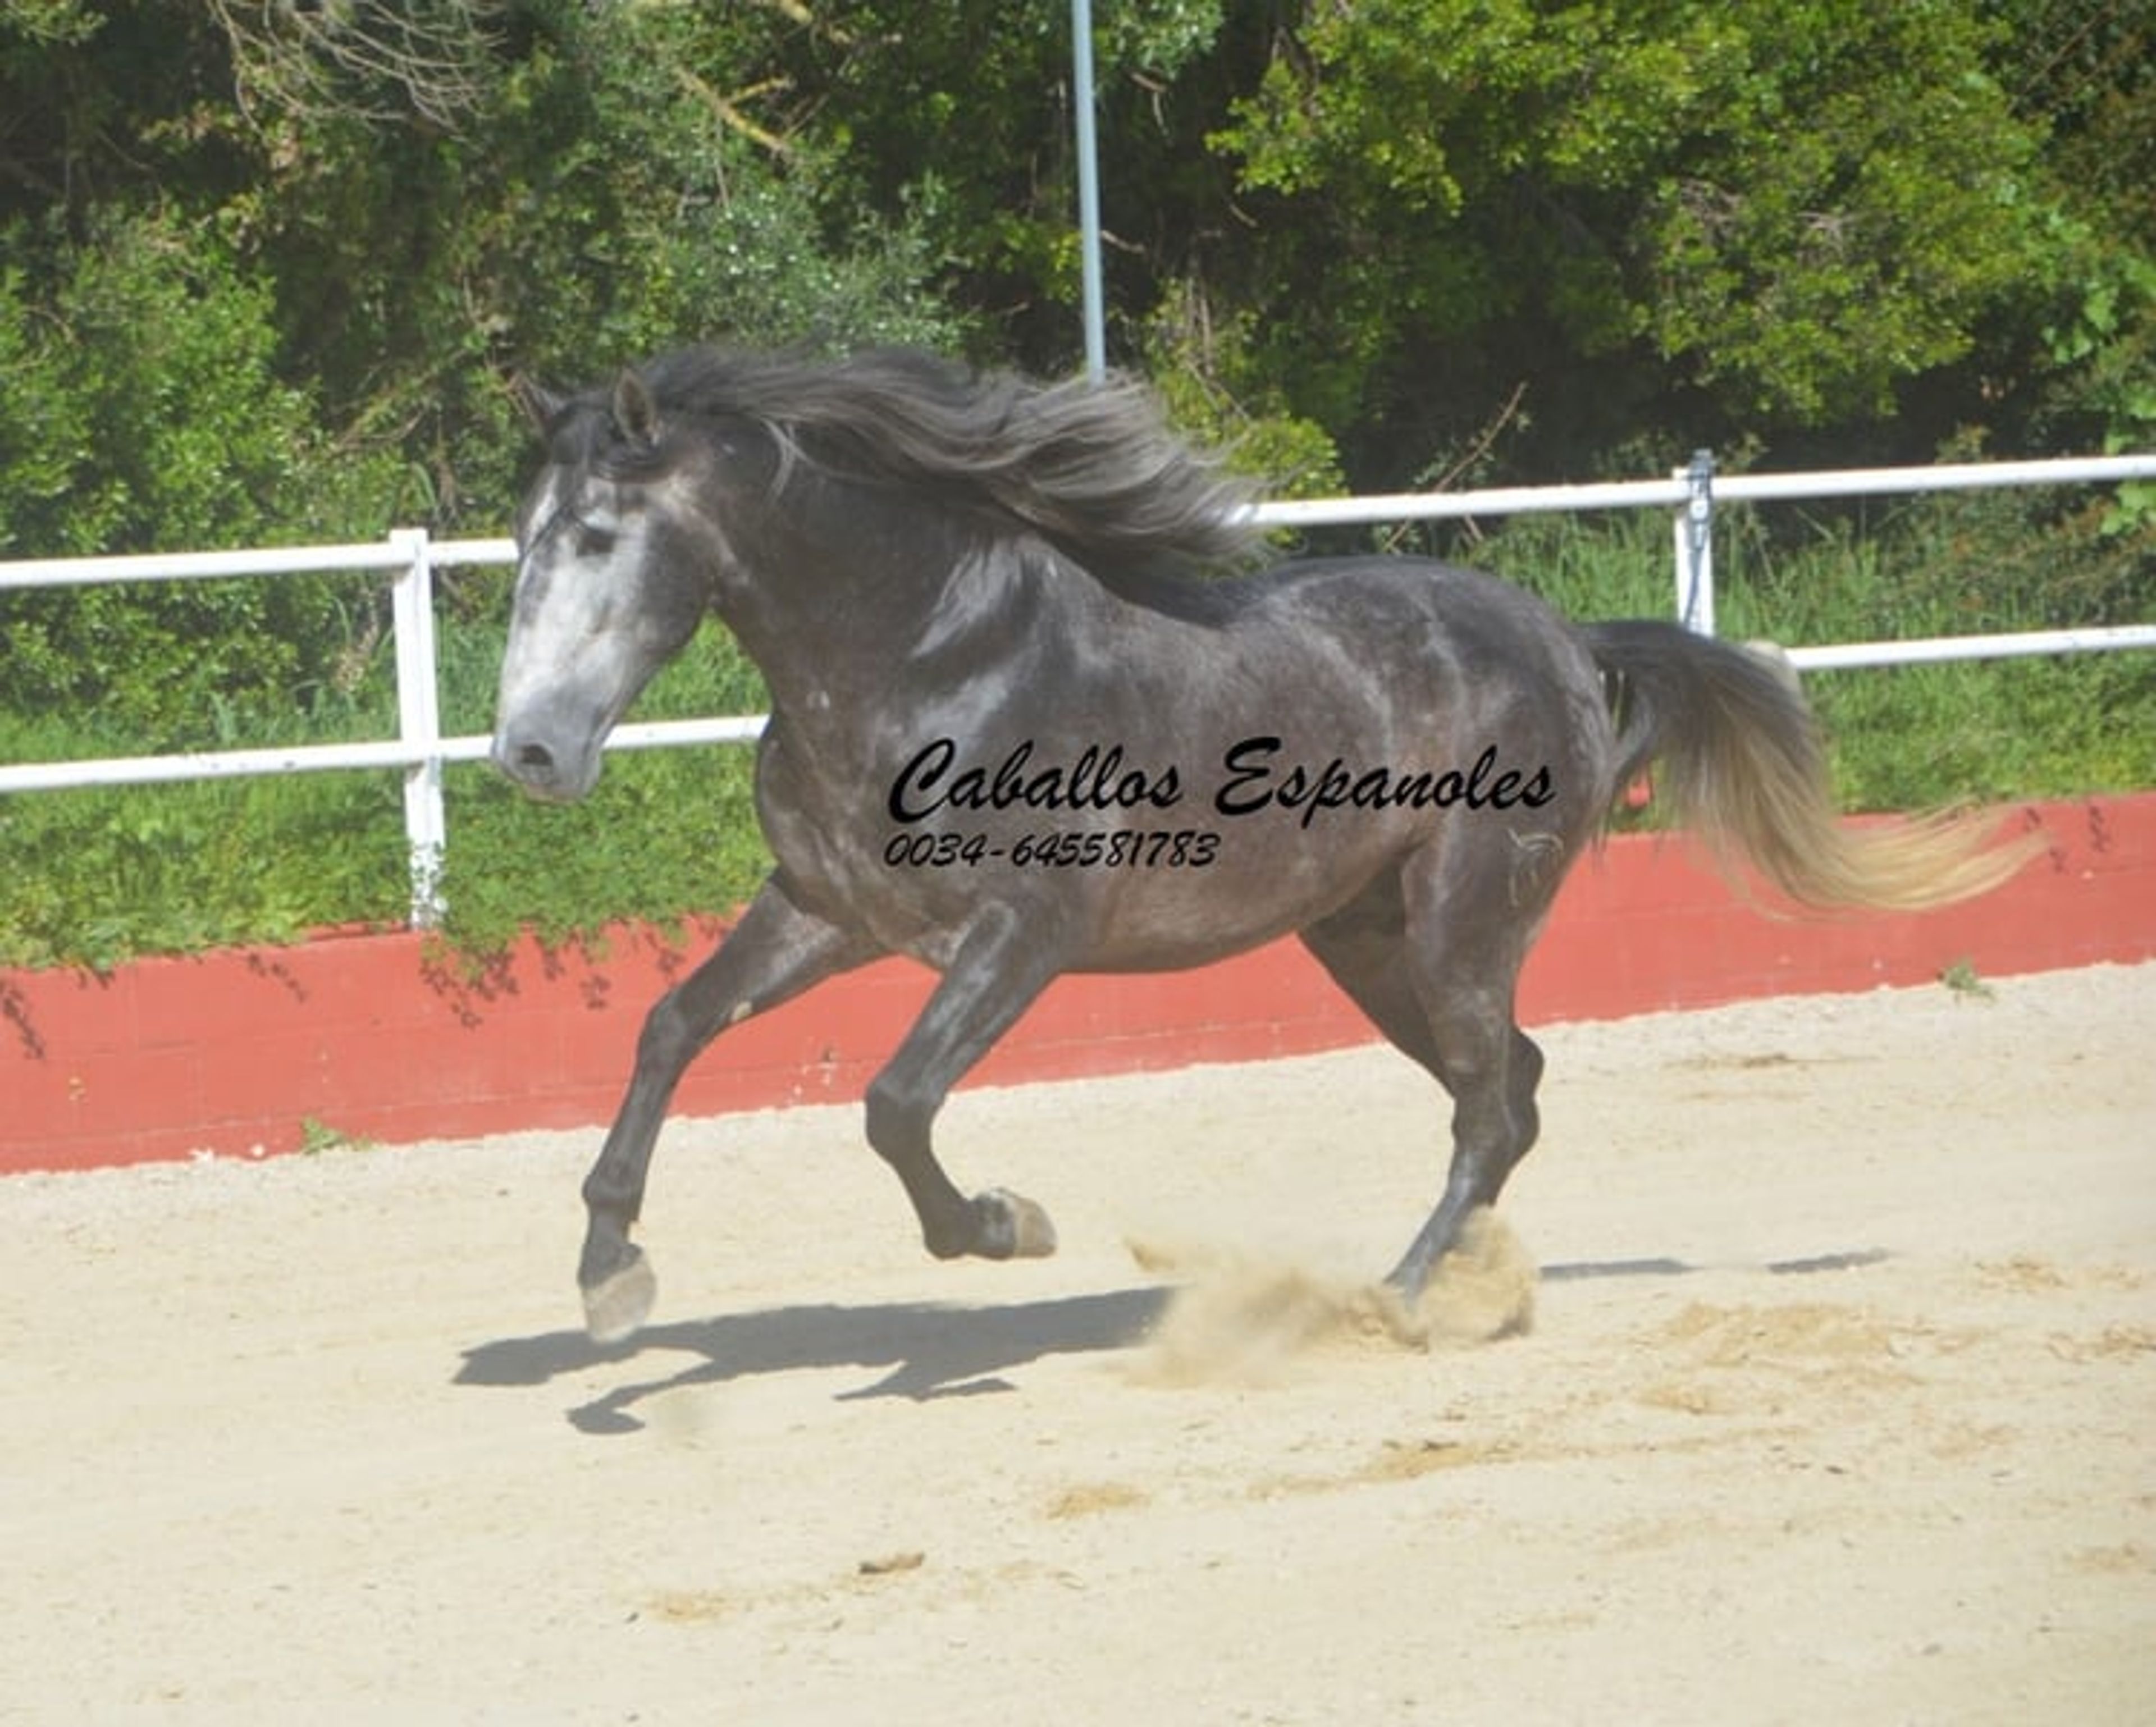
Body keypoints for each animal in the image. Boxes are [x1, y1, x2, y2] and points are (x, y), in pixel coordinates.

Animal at [490, 346, 2034, 1345]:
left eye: (599, 534)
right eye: (524, 538)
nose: (530, 753)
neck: (928, 654)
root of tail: (1566, 638)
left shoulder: (1023, 933)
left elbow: (893, 1102)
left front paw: (1004, 1223)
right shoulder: (828, 908)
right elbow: (672, 1025)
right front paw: (609, 1271)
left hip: (1460, 917)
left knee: (1490, 1104)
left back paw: (1396, 1302)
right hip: (1366, 938)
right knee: (1512, 1090)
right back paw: (1459, 1285)